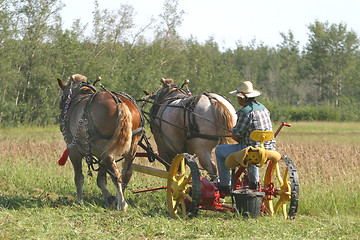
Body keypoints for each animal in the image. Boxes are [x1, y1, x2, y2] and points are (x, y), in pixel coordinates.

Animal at [57, 73, 143, 210]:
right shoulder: (99, 154)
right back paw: (120, 198)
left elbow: (79, 177)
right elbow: (101, 179)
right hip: (132, 144)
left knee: (116, 175)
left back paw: (122, 204)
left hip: (106, 150)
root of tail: (119, 102)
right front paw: (108, 198)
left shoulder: (74, 151)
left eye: (64, 96)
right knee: (126, 172)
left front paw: (79, 200)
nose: (60, 118)